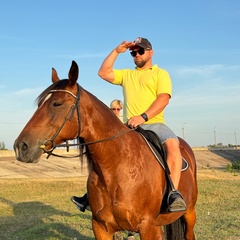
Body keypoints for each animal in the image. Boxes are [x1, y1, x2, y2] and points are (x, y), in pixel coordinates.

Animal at [14, 61, 197, 239]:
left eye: (57, 103)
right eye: (39, 104)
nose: (20, 147)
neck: (116, 168)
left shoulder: (148, 228)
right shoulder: (101, 227)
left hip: (189, 213)